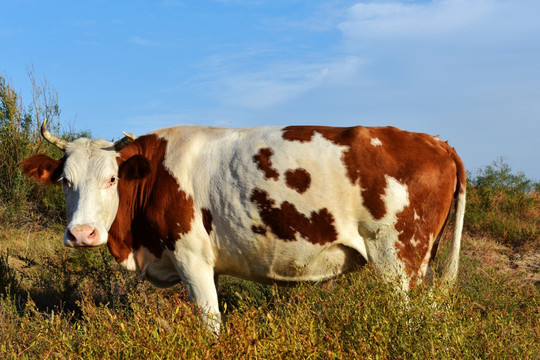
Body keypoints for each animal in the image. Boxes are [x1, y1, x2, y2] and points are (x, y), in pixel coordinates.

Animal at [23, 119, 466, 334]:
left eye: (111, 179)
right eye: (65, 181)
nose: (82, 234)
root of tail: (435, 141)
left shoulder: (191, 258)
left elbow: (211, 325)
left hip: (399, 262)